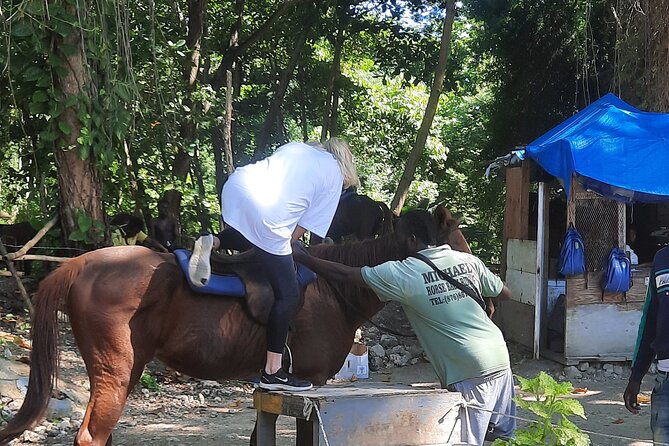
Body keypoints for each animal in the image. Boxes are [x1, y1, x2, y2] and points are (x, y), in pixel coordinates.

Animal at [0, 207, 470, 444]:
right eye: (452, 244)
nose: (483, 289)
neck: (334, 290)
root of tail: (78, 265)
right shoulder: (314, 382)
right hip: (115, 372)